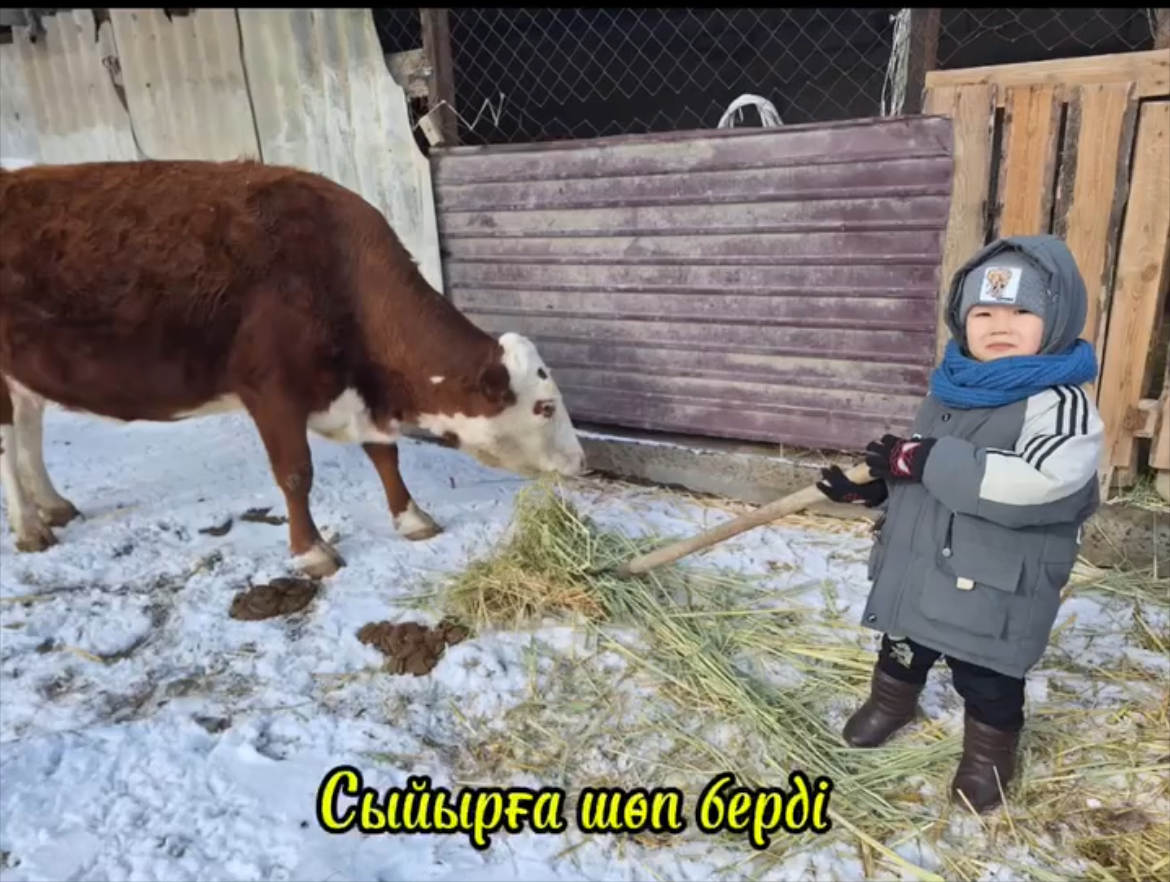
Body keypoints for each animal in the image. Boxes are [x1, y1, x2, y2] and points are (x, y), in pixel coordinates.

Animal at [0, 157, 587, 578]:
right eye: (544, 406)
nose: (581, 461)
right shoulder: (272, 393)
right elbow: (295, 474)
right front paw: (312, 552)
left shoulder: (355, 392)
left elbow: (385, 454)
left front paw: (411, 518)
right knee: (10, 443)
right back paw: (29, 526)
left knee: (29, 430)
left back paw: (53, 505)